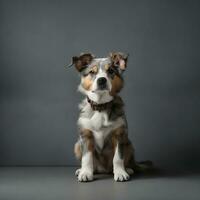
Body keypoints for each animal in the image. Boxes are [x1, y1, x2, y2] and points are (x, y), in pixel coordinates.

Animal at [69, 52, 152, 182]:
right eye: (92, 72)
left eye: (111, 71)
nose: (102, 80)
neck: (101, 106)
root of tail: (104, 170)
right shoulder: (85, 135)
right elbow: (87, 157)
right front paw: (86, 173)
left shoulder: (119, 134)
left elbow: (118, 158)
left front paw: (120, 173)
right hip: (77, 145)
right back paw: (83, 170)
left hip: (129, 145)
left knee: (127, 161)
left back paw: (128, 169)